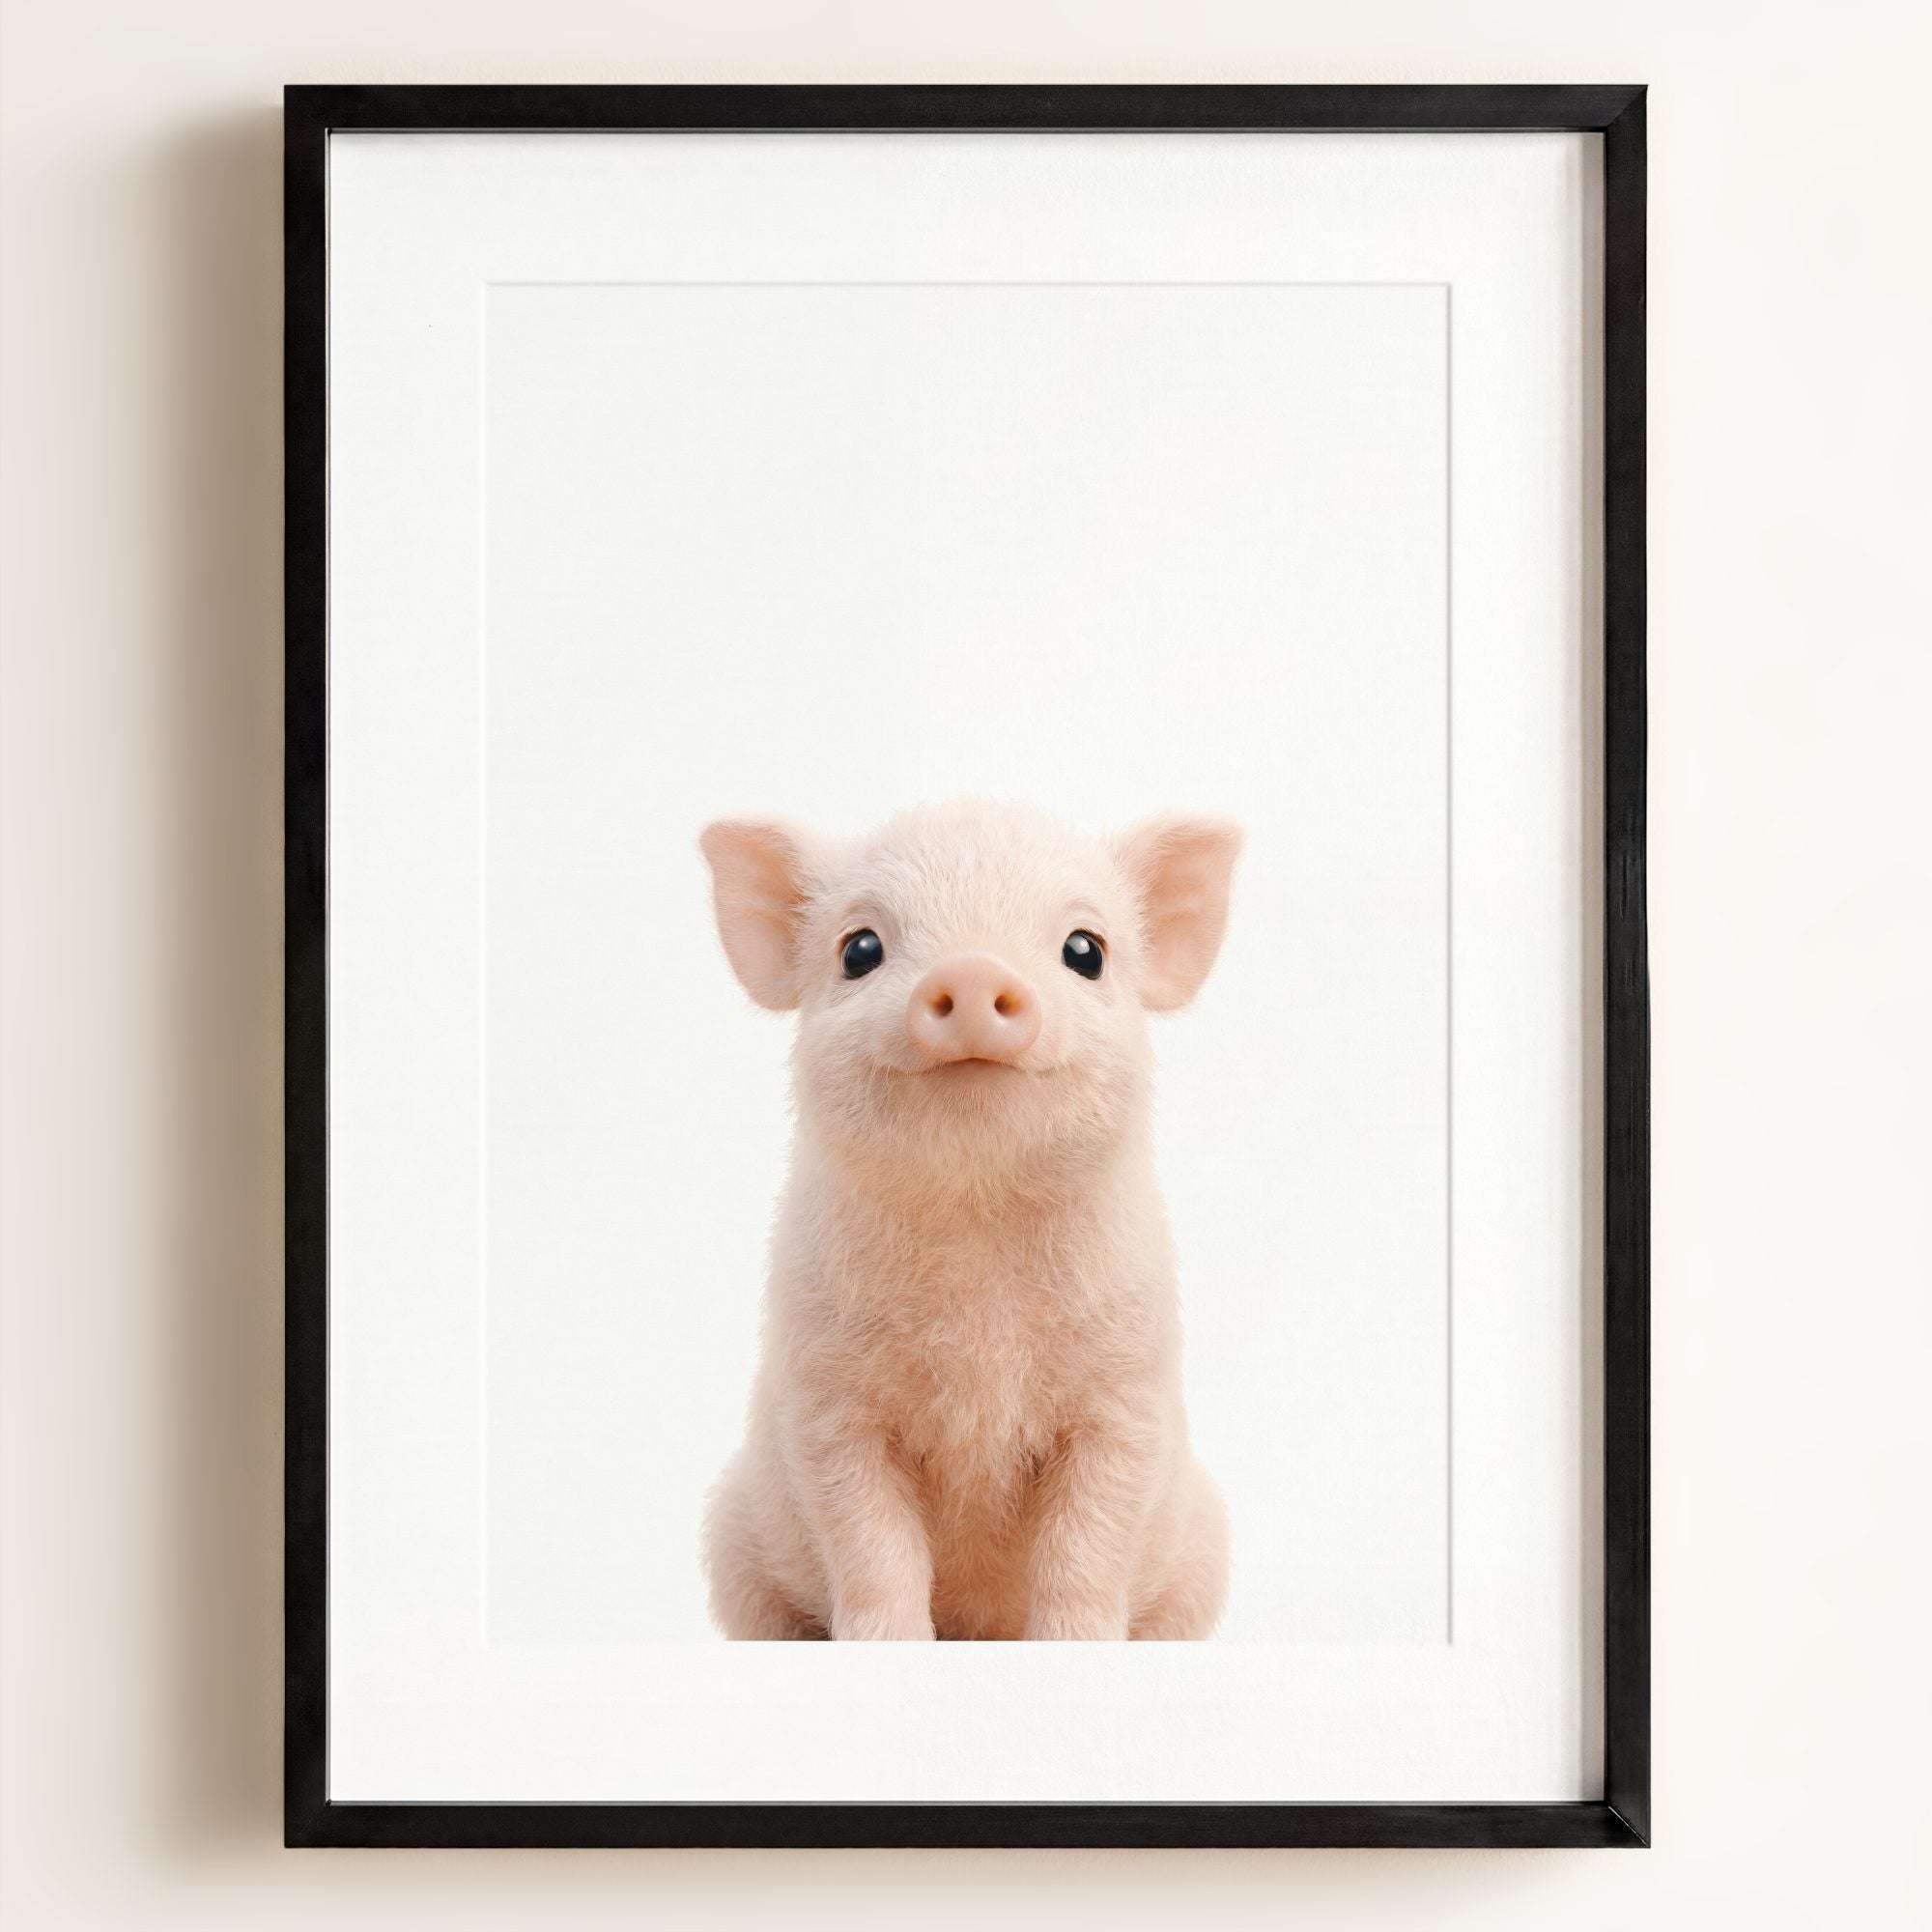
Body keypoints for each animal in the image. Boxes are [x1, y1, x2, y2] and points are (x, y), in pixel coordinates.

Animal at [698, 798, 1240, 1640]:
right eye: (860, 949)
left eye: (1086, 951)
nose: (974, 968)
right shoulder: (826, 1403)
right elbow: (872, 1545)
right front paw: (885, 1643)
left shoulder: (1126, 1395)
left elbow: (1087, 1546)